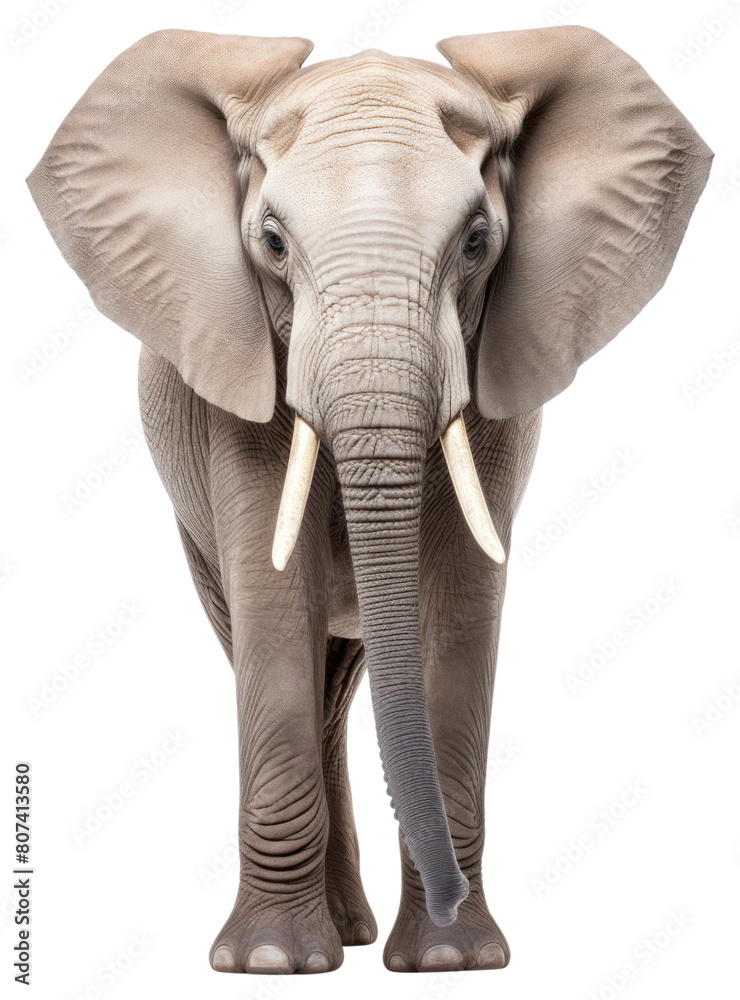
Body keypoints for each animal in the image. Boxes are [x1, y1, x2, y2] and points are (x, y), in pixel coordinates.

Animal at [27, 26, 711, 975]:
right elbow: (275, 604)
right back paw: (334, 936)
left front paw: (451, 960)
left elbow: (460, 605)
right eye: (272, 243)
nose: (455, 900)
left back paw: (353, 930)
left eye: (478, 241)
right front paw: (270, 963)